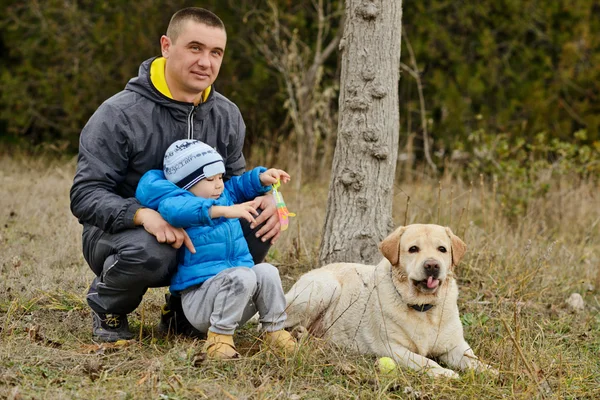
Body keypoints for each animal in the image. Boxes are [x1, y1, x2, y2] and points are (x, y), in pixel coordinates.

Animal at [284, 225, 494, 378]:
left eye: (442, 249)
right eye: (413, 249)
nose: (432, 265)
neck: (423, 309)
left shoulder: (455, 346)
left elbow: (471, 359)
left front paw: (487, 370)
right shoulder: (392, 348)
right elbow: (426, 361)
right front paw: (444, 373)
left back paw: (303, 335)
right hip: (324, 289)